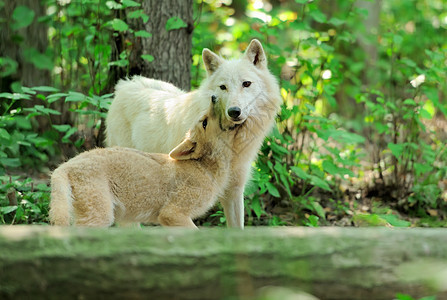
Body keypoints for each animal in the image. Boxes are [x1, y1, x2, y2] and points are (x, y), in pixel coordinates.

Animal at [107, 39, 282, 227]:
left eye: (246, 83)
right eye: (223, 87)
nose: (234, 111)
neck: (231, 146)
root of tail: (126, 84)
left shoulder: (234, 191)